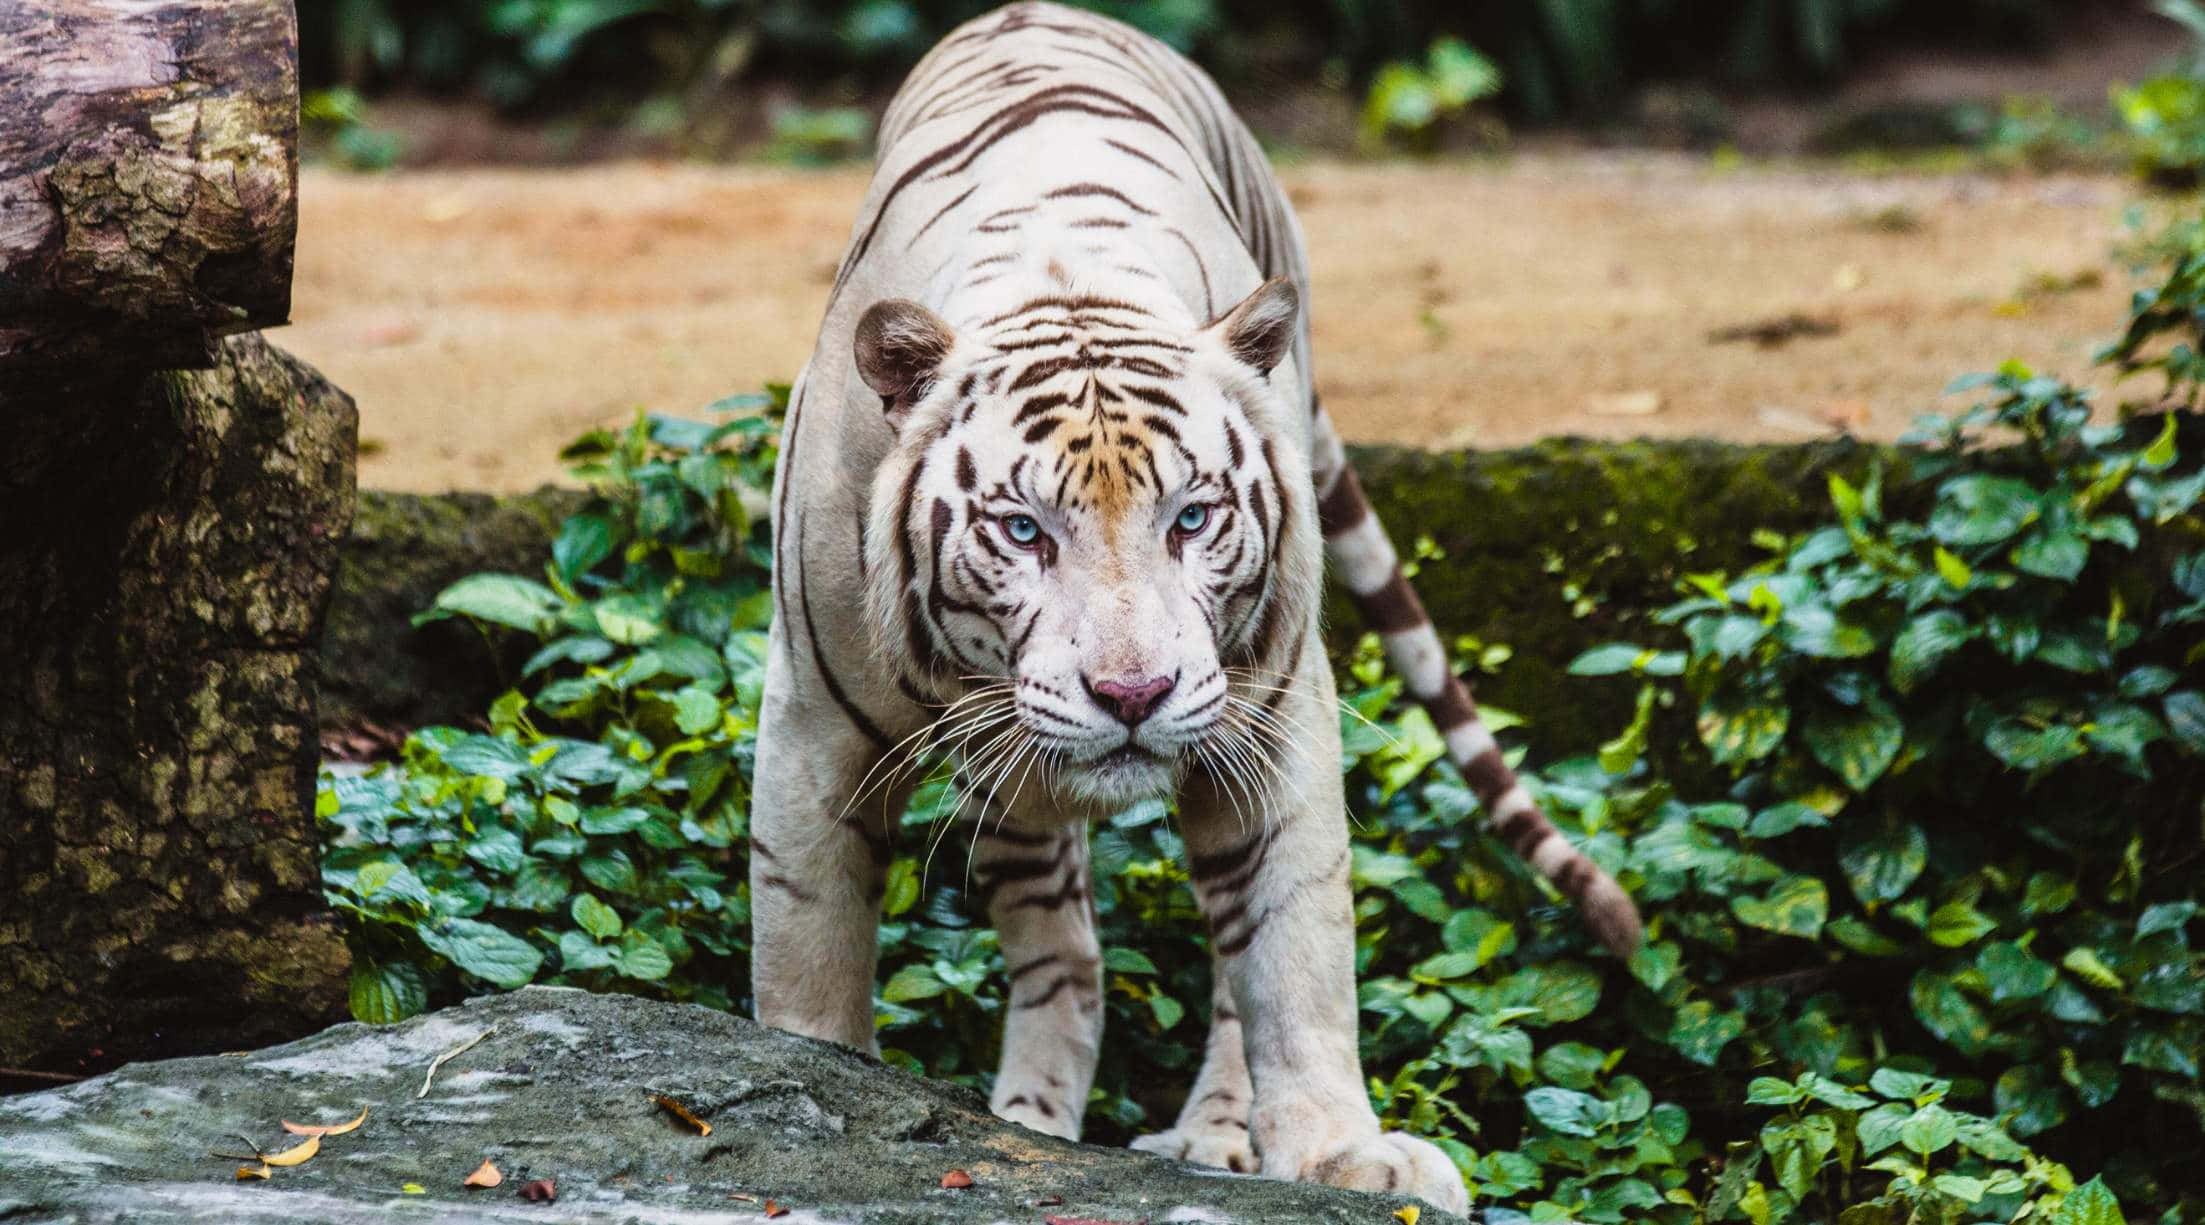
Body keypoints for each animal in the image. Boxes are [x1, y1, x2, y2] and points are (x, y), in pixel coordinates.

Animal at [750, 2, 1642, 1212]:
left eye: (1193, 517)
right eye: (1023, 530)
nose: (1134, 693)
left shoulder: (1272, 710)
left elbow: (1292, 945)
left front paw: (1340, 1154)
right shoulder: (811, 721)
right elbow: (807, 945)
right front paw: (809, 1083)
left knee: (1214, 969)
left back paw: (1212, 1136)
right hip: (1008, 782)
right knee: (1068, 953)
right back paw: (1026, 1121)